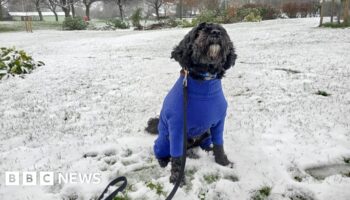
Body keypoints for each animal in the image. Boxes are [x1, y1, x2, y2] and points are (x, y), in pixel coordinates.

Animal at [145, 22, 238, 184]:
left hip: (206, 134)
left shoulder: (219, 122)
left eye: (221, 29)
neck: (205, 79)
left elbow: (219, 144)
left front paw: (224, 162)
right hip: (165, 138)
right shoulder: (177, 127)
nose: (215, 32)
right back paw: (163, 161)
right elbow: (176, 157)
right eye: (199, 30)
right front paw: (177, 179)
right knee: (160, 150)